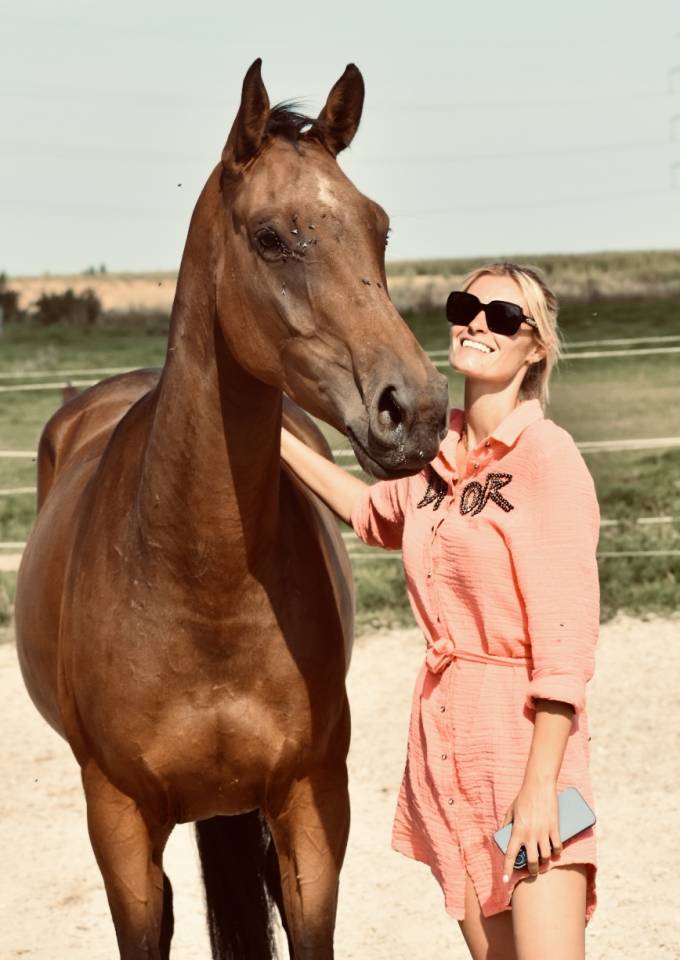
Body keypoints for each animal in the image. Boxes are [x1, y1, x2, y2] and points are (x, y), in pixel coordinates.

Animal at [15, 60, 449, 959]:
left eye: (379, 228)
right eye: (271, 237)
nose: (417, 410)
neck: (196, 578)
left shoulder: (312, 811)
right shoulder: (119, 828)